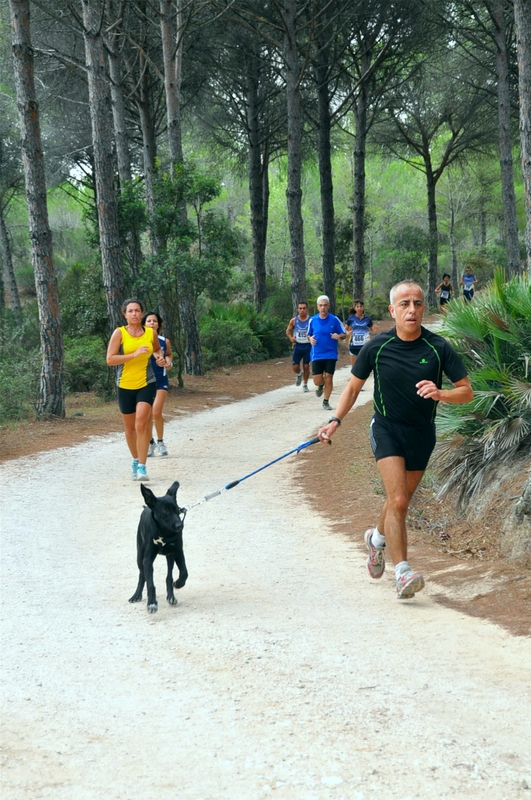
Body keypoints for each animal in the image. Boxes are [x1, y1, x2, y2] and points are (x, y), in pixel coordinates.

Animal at [128, 482, 188, 612]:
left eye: (177, 510)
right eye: (165, 511)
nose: (180, 526)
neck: (164, 534)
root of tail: (146, 507)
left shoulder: (178, 551)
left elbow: (184, 572)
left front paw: (179, 583)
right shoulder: (147, 559)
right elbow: (150, 583)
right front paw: (151, 603)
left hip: (169, 557)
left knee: (169, 576)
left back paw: (171, 596)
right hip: (140, 556)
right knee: (142, 575)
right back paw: (136, 595)